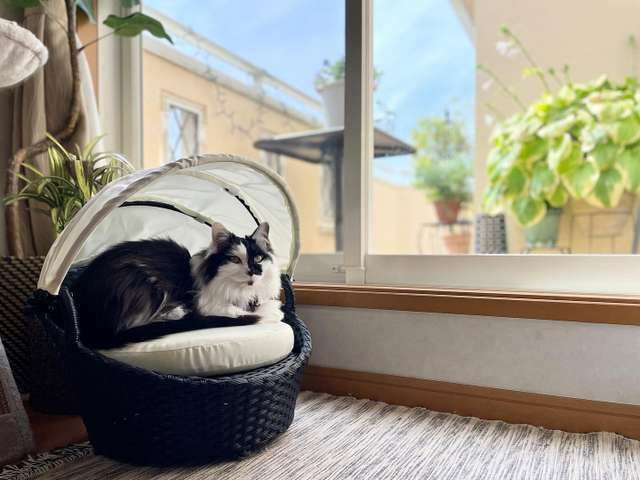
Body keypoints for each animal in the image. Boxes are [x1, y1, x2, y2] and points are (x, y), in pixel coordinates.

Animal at [73, 222, 283, 349]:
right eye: (234, 259)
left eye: (258, 258)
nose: (253, 272)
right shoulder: (210, 306)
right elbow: (251, 312)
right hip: (145, 282)